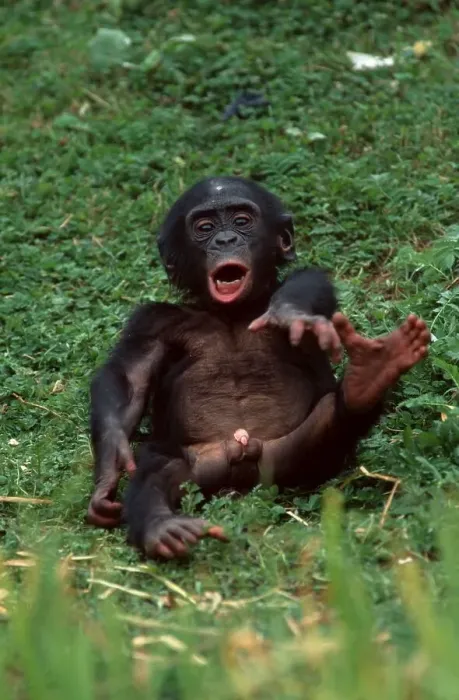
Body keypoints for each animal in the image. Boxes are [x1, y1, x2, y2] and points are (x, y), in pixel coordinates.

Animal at [87, 176, 430, 559]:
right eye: (204, 228)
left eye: (242, 221)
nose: (225, 240)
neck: (233, 313)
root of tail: (241, 462)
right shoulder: (152, 322)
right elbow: (130, 377)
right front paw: (110, 468)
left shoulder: (303, 283)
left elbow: (306, 287)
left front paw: (289, 313)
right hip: (197, 463)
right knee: (154, 472)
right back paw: (162, 527)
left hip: (291, 459)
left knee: (332, 420)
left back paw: (367, 378)